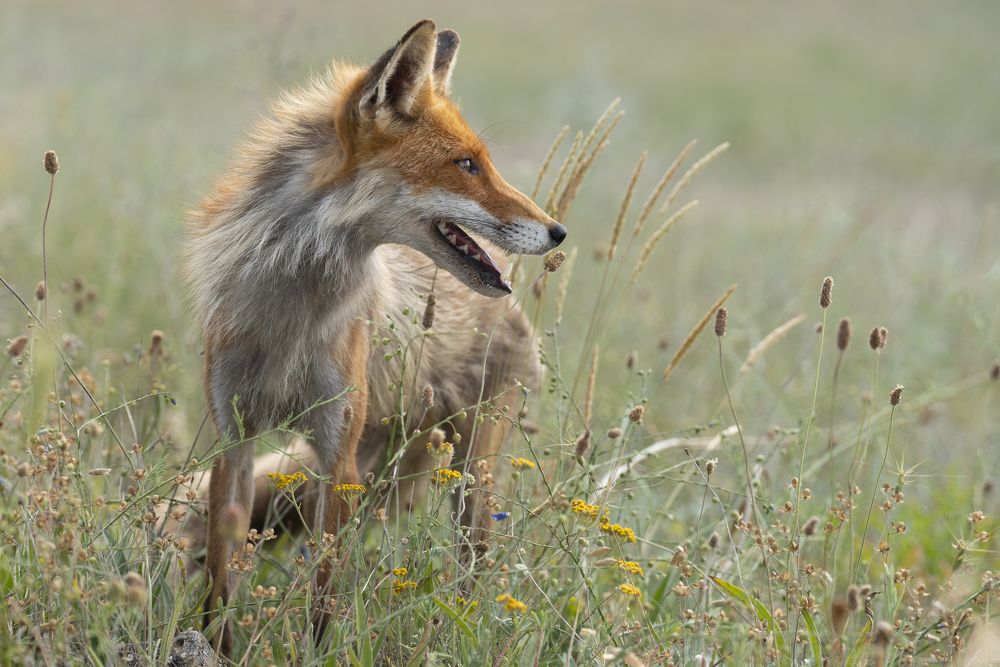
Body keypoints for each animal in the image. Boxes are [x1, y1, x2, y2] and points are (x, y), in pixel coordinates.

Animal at [183, 19, 565, 653]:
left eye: (482, 162)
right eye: (466, 164)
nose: (559, 231)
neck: (292, 318)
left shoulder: (337, 455)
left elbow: (324, 595)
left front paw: (317, 654)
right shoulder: (234, 438)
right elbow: (220, 576)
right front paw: (211, 647)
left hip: (470, 480)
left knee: (471, 569)